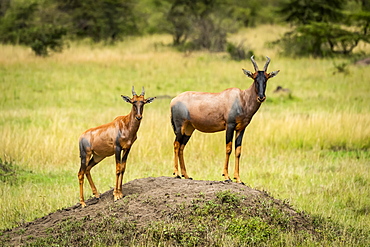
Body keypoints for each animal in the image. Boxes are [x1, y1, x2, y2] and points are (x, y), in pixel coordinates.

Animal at [169, 55, 278, 183]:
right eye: (255, 78)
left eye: (266, 79)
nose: (261, 97)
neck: (242, 98)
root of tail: (173, 100)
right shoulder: (229, 126)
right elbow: (228, 149)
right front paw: (226, 176)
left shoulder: (241, 129)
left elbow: (238, 151)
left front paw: (238, 179)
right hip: (180, 127)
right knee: (176, 145)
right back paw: (176, 173)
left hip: (189, 129)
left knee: (181, 147)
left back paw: (186, 175)